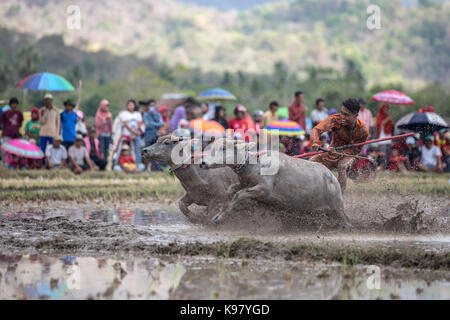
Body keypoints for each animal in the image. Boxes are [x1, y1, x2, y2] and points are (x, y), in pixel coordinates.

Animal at [202, 139, 350, 229]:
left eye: (223, 148)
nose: (203, 163)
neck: (254, 165)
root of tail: (333, 178)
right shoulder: (245, 184)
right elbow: (230, 190)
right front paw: (217, 215)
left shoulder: (264, 190)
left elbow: (238, 195)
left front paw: (219, 218)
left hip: (337, 206)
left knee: (346, 219)